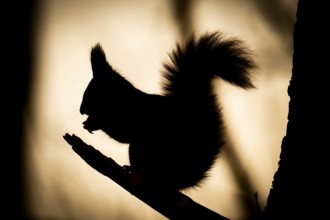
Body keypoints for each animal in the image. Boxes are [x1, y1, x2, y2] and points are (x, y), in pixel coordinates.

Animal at [80, 31, 258, 191]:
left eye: (93, 92)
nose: (82, 110)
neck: (120, 100)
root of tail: (181, 179)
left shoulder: (131, 116)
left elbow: (119, 132)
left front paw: (93, 122)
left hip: (144, 148)